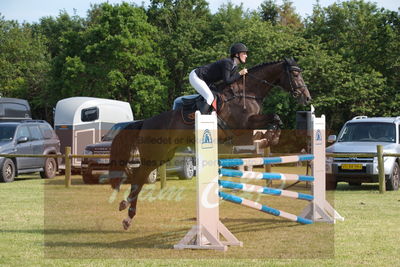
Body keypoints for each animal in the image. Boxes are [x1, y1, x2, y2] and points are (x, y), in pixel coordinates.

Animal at [108, 57, 310, 231]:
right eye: (295, 74)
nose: (307, 98)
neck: (247, 92)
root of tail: (145, 122)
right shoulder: (244, 124)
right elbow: (273, 117)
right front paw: (269, 137)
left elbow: (276, 118)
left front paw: (271, 137)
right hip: (154, 154)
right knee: (139, 176)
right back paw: (127, 212)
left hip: (163, 156)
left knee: (139, 176)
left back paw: (127, 212)